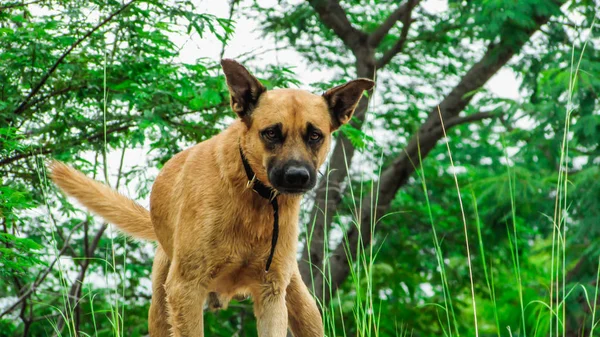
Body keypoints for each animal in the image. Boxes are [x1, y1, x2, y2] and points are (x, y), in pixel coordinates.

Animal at [49, 60, 372, 336]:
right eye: (271, 133)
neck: (256, 199)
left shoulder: (271, 295)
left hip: (302, 305)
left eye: (315, 135)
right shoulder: (185, 289)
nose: (297, 176)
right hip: (162, 308)